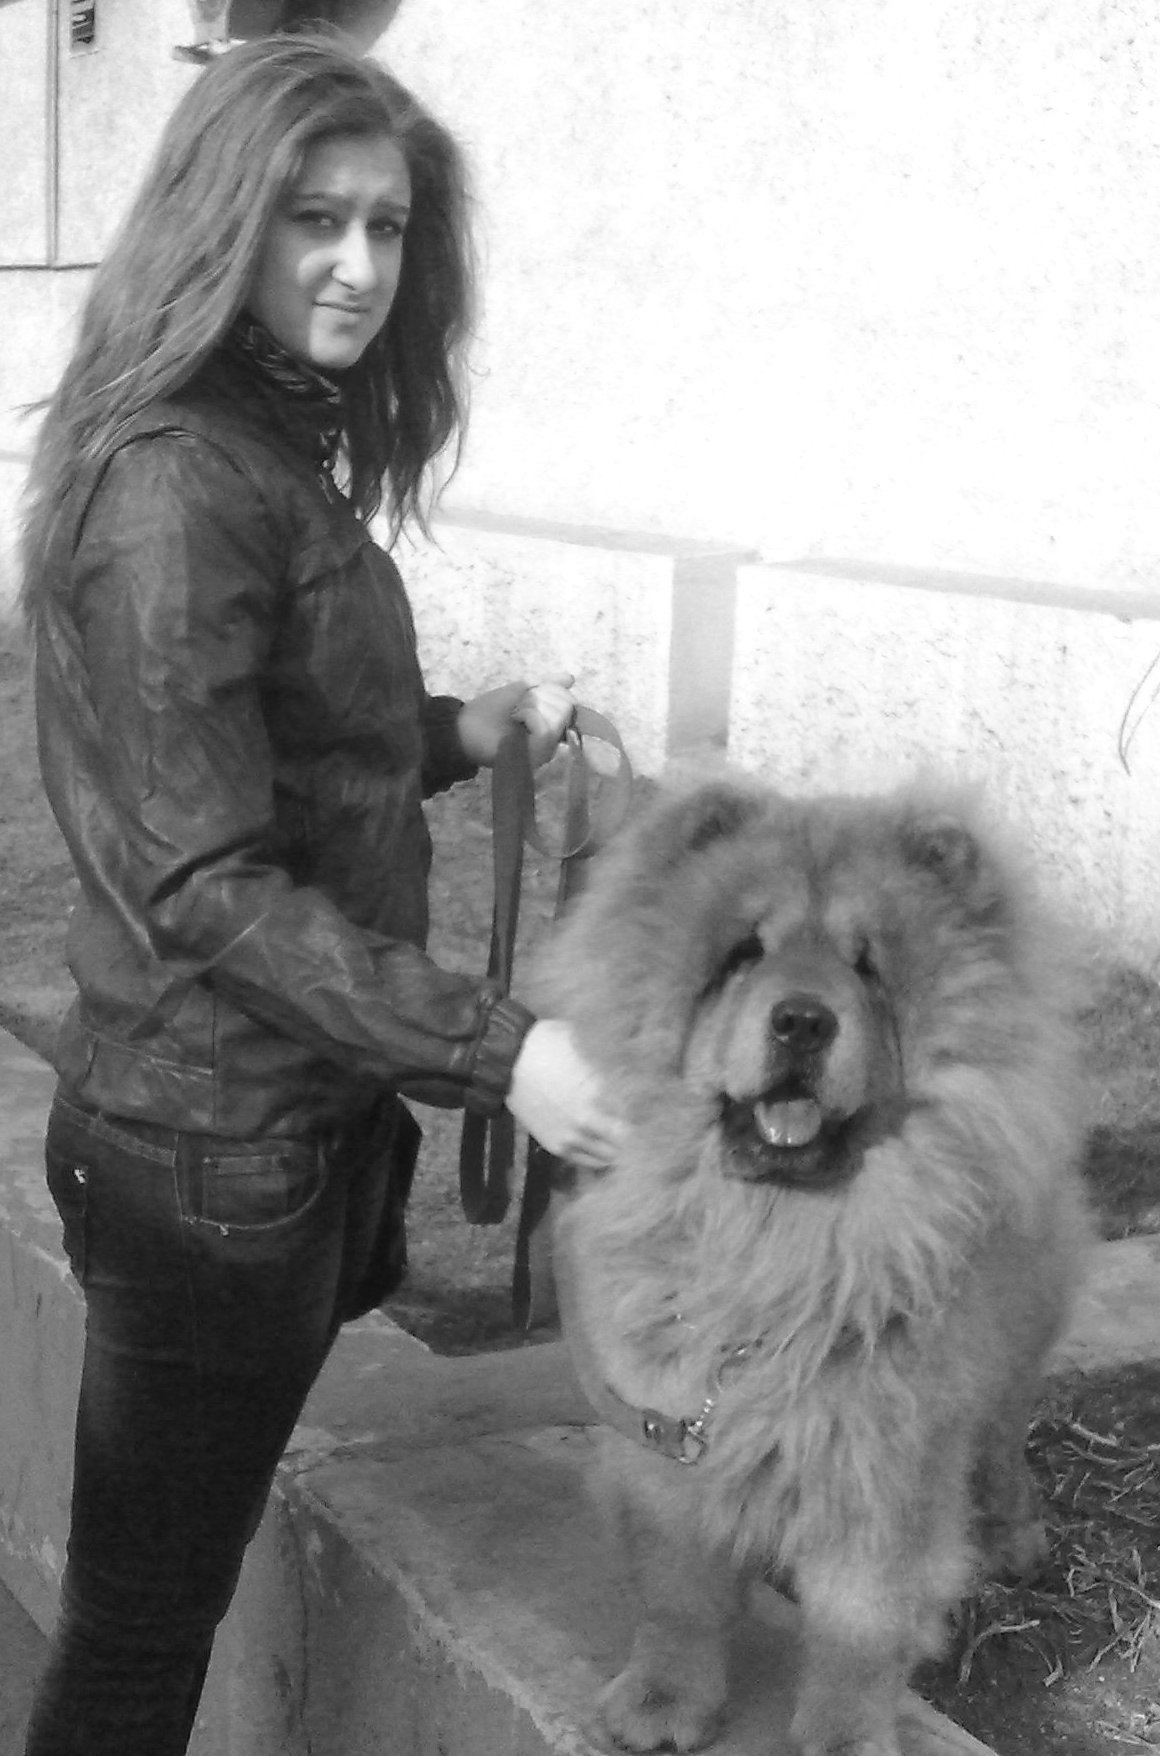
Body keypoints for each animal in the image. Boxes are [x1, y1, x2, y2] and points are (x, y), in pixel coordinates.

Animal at [529, 777, 1092, 1756]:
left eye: (867, 969)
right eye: (744, 954)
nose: (801, 1018)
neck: (782, 1251)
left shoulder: (884, 1464)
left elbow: (861, 1624)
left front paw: (845, 1736)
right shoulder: (666, 1436)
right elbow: (677, 1591)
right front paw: (662, 1704)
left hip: (1015, 1346)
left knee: (1002, 1437)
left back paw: (1014, 1536)